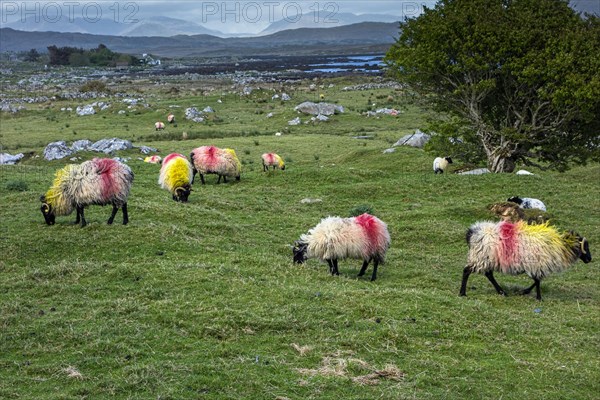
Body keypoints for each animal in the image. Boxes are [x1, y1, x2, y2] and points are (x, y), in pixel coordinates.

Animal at [460, 219, 592, 300]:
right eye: (585, 246)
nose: (589, 259)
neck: (560, 246)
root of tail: (472, 232)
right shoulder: (538, 264)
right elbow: (537, 280)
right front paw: (539, 297)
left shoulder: (537, 265)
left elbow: (537, 280)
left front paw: (525, 291)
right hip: (480, 257)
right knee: (467, 271)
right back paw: (462, 293)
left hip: (487, 258)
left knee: (489, 274)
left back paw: (502, 292)